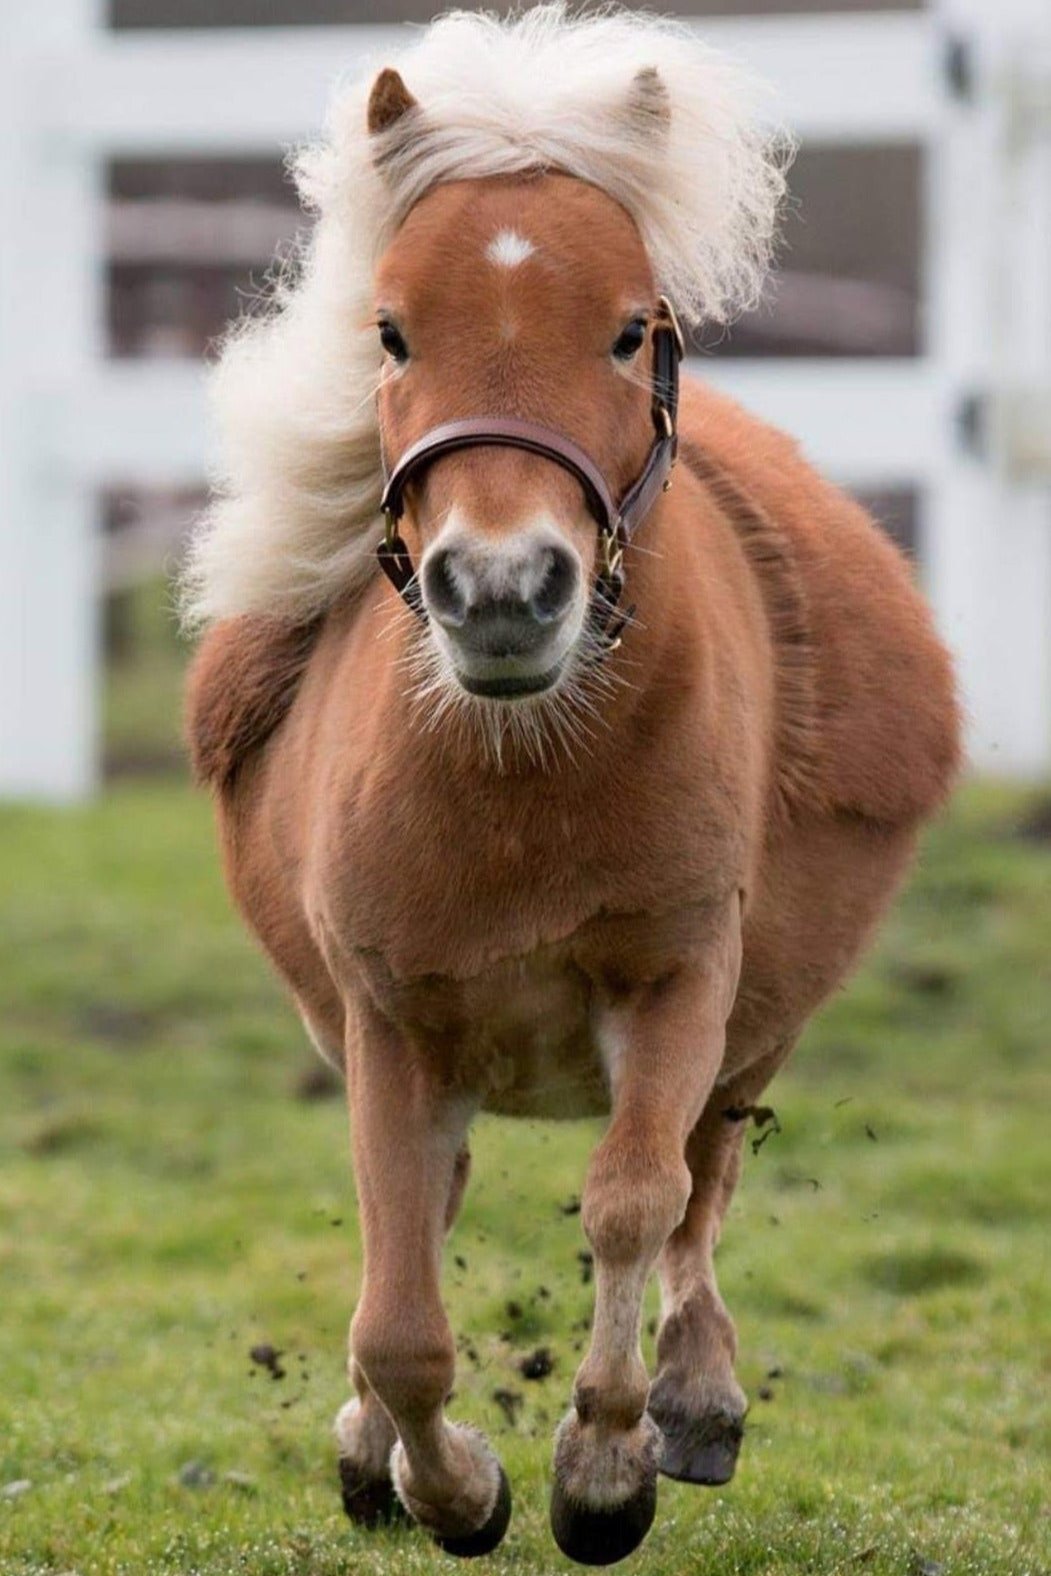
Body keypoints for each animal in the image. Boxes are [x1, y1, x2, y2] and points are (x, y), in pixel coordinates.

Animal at [182, 9, 964, 1563]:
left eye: (627, 328)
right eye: (390, 330)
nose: (500, 588)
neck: (522, 774)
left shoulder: (678, 977)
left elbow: (631, 1200)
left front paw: (603, 1465)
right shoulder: (383, 1018)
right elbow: (400, 1307)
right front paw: (445, 1483)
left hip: (756, 1021)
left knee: (702, 1181)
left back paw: (695, 1397)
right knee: (431, 1218)